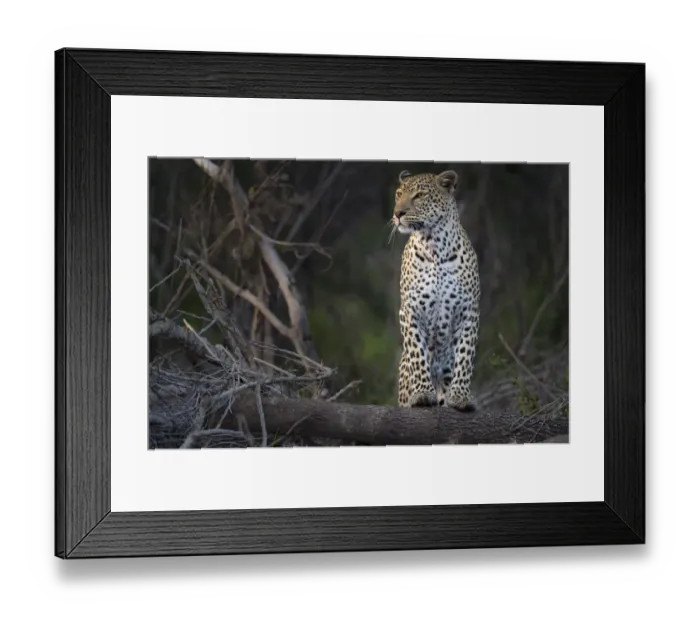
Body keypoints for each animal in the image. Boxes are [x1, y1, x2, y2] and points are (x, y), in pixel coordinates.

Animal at [392, 169, 480, 411]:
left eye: (419, 195)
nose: (398, 213)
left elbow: (465, 354)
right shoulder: (410, 310)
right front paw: (422, 393)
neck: (435, 246)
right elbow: (417, 352)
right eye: (399, 194)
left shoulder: (469, 311)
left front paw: (459, 396)